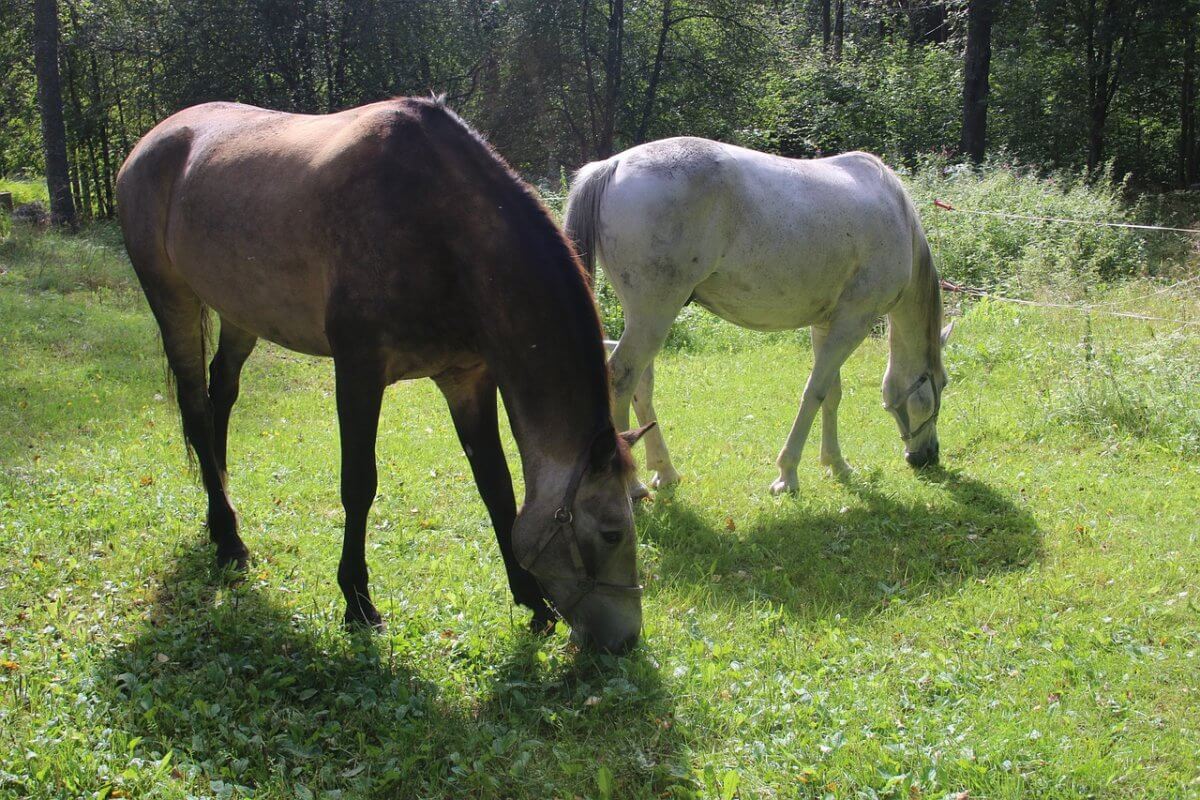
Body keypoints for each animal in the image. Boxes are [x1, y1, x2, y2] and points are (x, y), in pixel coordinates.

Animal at [117, 97, 652, 652]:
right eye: (612, 532)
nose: (625, 640)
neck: (439, 228)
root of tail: (153, 140)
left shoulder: (467, 379)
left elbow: (496, 487)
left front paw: (532, 602)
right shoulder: (359, 371)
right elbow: (359, 483)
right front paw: (357, 602)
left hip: (241, 312)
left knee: (221, 392)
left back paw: (219, 511)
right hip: (172, 299)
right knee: (196, 410)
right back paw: (227, 538)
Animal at [566, 140, 950, 496]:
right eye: (942, 384)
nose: (928, 456)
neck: (896, 214)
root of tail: (612, 165)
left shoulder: (827, 324)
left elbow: (832, 393)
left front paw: (837, 464)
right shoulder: (853, 322)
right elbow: (815, 391)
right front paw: (788, 474)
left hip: (647, 319)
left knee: (642, 385)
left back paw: (665, 471)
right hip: (654, 315)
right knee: (622, 380)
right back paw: (632, 486)